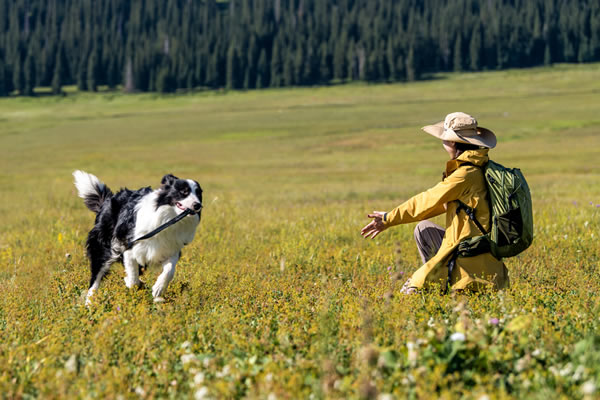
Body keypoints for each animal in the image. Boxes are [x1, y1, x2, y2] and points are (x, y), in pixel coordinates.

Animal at [72, 170, 204, 304]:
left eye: (199, 194)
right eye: (184, 192)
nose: (198, 205)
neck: (169, 219)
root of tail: (107, 200)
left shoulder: (171, 248)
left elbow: (169, 270)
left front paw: (158, 289)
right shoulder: (129, 245)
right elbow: (133, 276)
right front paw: (132, 283)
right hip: (103, 246)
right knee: (96, 276)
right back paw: (90, 302)